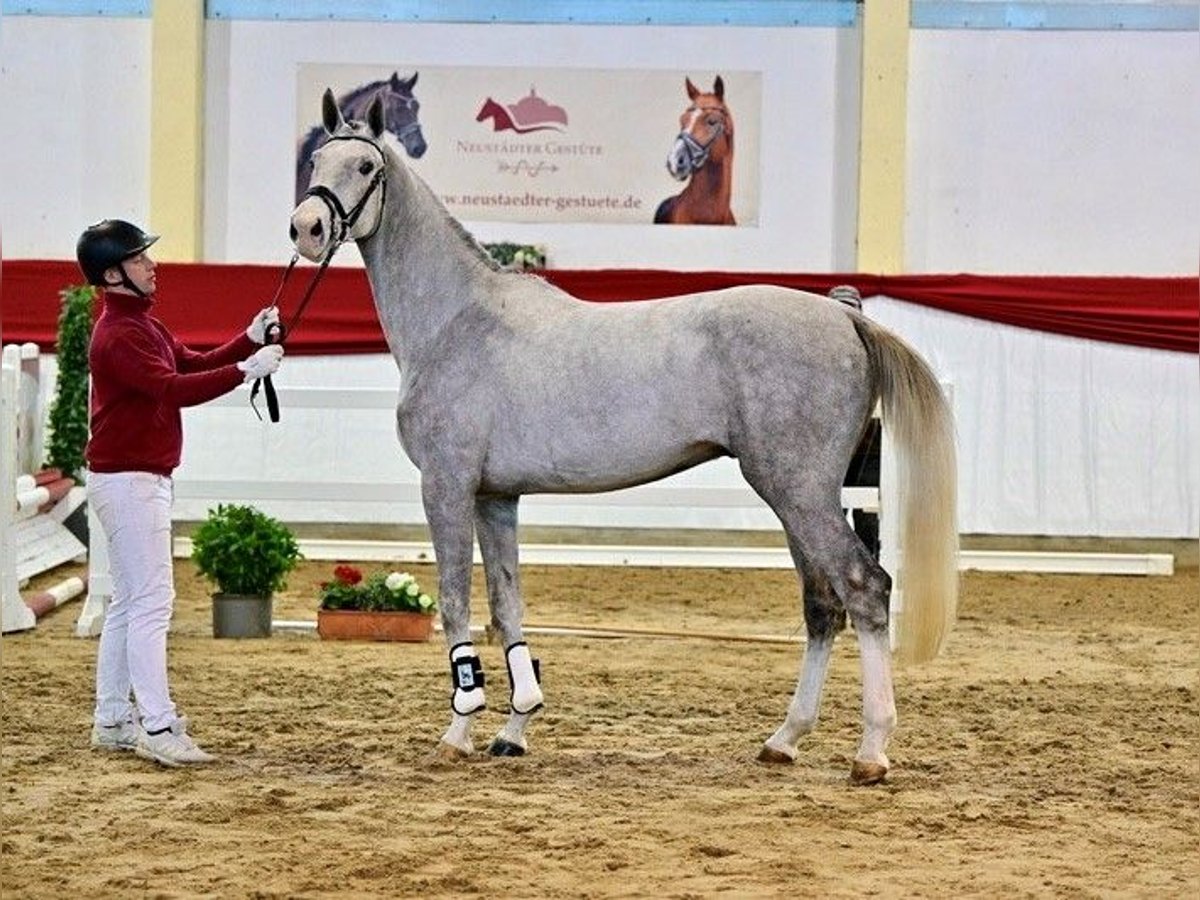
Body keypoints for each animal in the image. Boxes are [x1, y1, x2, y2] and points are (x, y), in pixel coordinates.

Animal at [290, 88, 955, 787]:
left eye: (366, 167)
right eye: (317, 159)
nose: (306, 228)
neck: (460, 320)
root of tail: (845, 315)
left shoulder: (446, 486)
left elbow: (454, 603)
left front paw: (458, 733)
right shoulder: (495, 498)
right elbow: (506, 606)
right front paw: (514, 729)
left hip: (798, 490)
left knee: (865, 588)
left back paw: (871, 751)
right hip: (800, 494)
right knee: (822, 603)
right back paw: (785, 738)